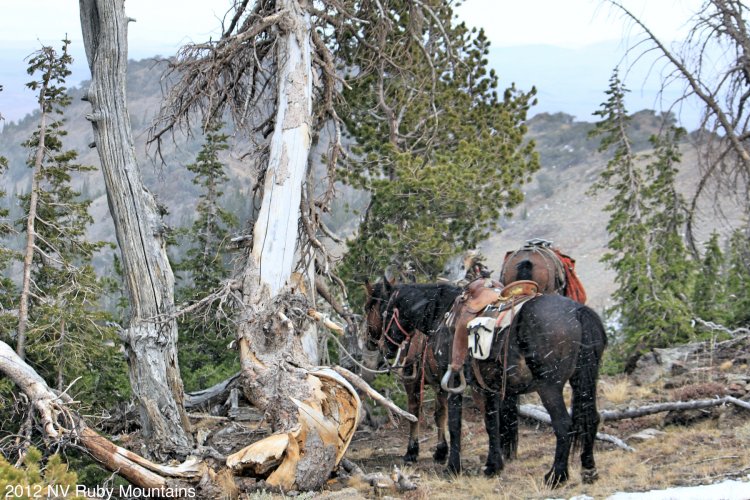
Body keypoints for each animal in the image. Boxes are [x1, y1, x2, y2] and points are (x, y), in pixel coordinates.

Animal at [362, 280, 462, 462]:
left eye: (367, 308)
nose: (369, 341)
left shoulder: (412, 382)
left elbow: (413, 414)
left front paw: (412, 450)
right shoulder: (439, 384)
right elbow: (440, 414)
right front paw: (441, 450)